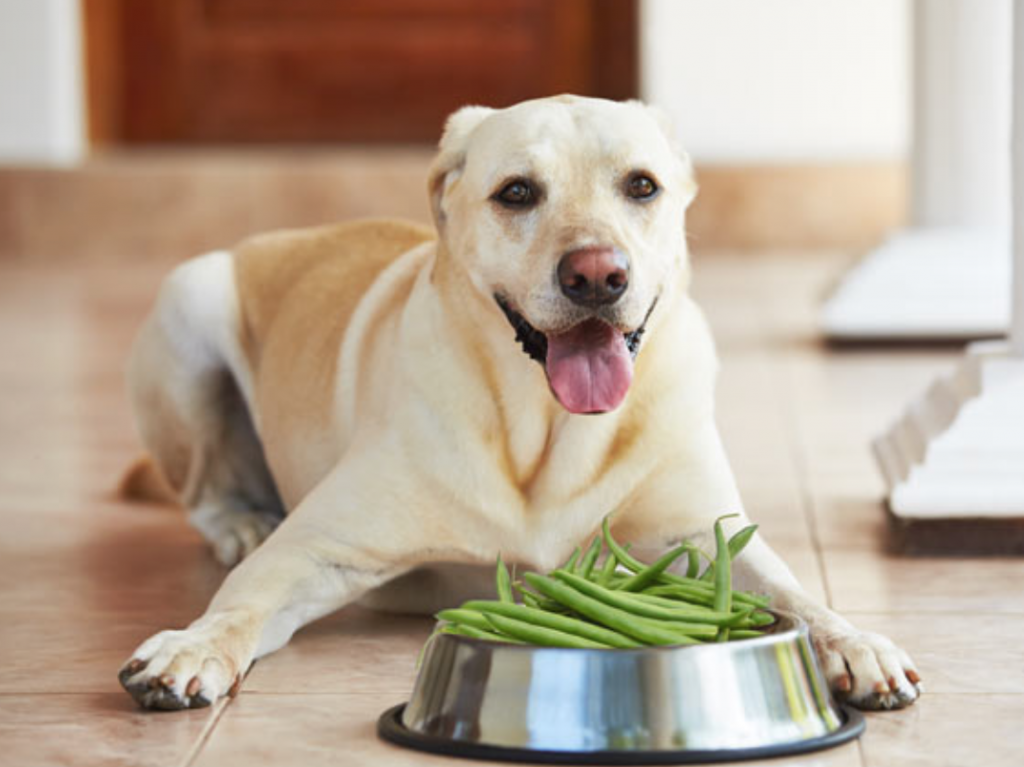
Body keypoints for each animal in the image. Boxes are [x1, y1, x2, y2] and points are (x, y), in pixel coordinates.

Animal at [117, 95, 921, 712]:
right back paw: (240, 521)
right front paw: (191, 645)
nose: (596, 274)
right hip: (190, 299)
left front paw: (854, 642)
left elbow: (796, 593)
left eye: (642, 186)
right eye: (517, 192)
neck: (549, 430)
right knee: (205, 491)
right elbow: (239, 604)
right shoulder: (316, 547)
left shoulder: (707, 536)